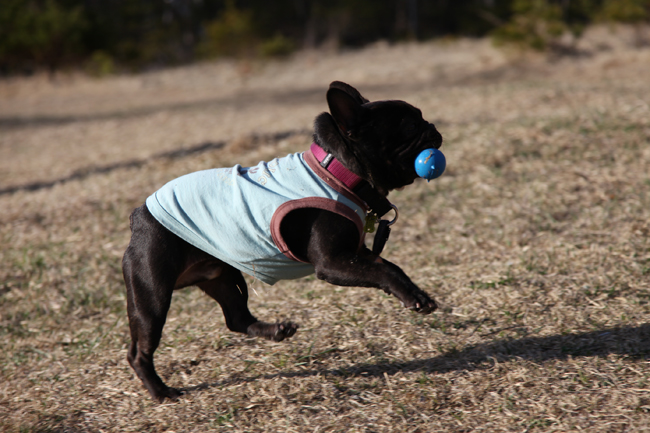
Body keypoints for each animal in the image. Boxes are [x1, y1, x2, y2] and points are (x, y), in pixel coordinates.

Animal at [123, 82, 440, 402]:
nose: (433, 127)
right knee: (139, 351)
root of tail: (140, 214)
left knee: (236, 317)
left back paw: (276, 330)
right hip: (152, 294)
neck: (337, 172)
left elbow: (390, 267)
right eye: (411, 125)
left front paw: (415, 293)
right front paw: (414, 298)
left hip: (222, 276)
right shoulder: (333, 262)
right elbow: (384, 270)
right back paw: (161, 392)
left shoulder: (357, 254)